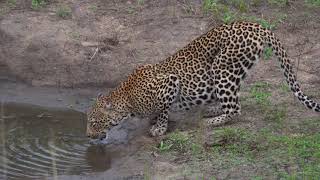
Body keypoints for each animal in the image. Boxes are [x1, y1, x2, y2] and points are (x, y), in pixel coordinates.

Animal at [86, 20, 318, 139]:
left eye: (94, 122)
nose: (87, 136)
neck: (127, 100)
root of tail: (254, 24)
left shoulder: (169, 83)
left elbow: (163, 110)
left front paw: (159, 128)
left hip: (222, 68)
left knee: (236, 109)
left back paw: (209, 121)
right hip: (233, 73)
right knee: (232, 100)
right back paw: (212, 109)